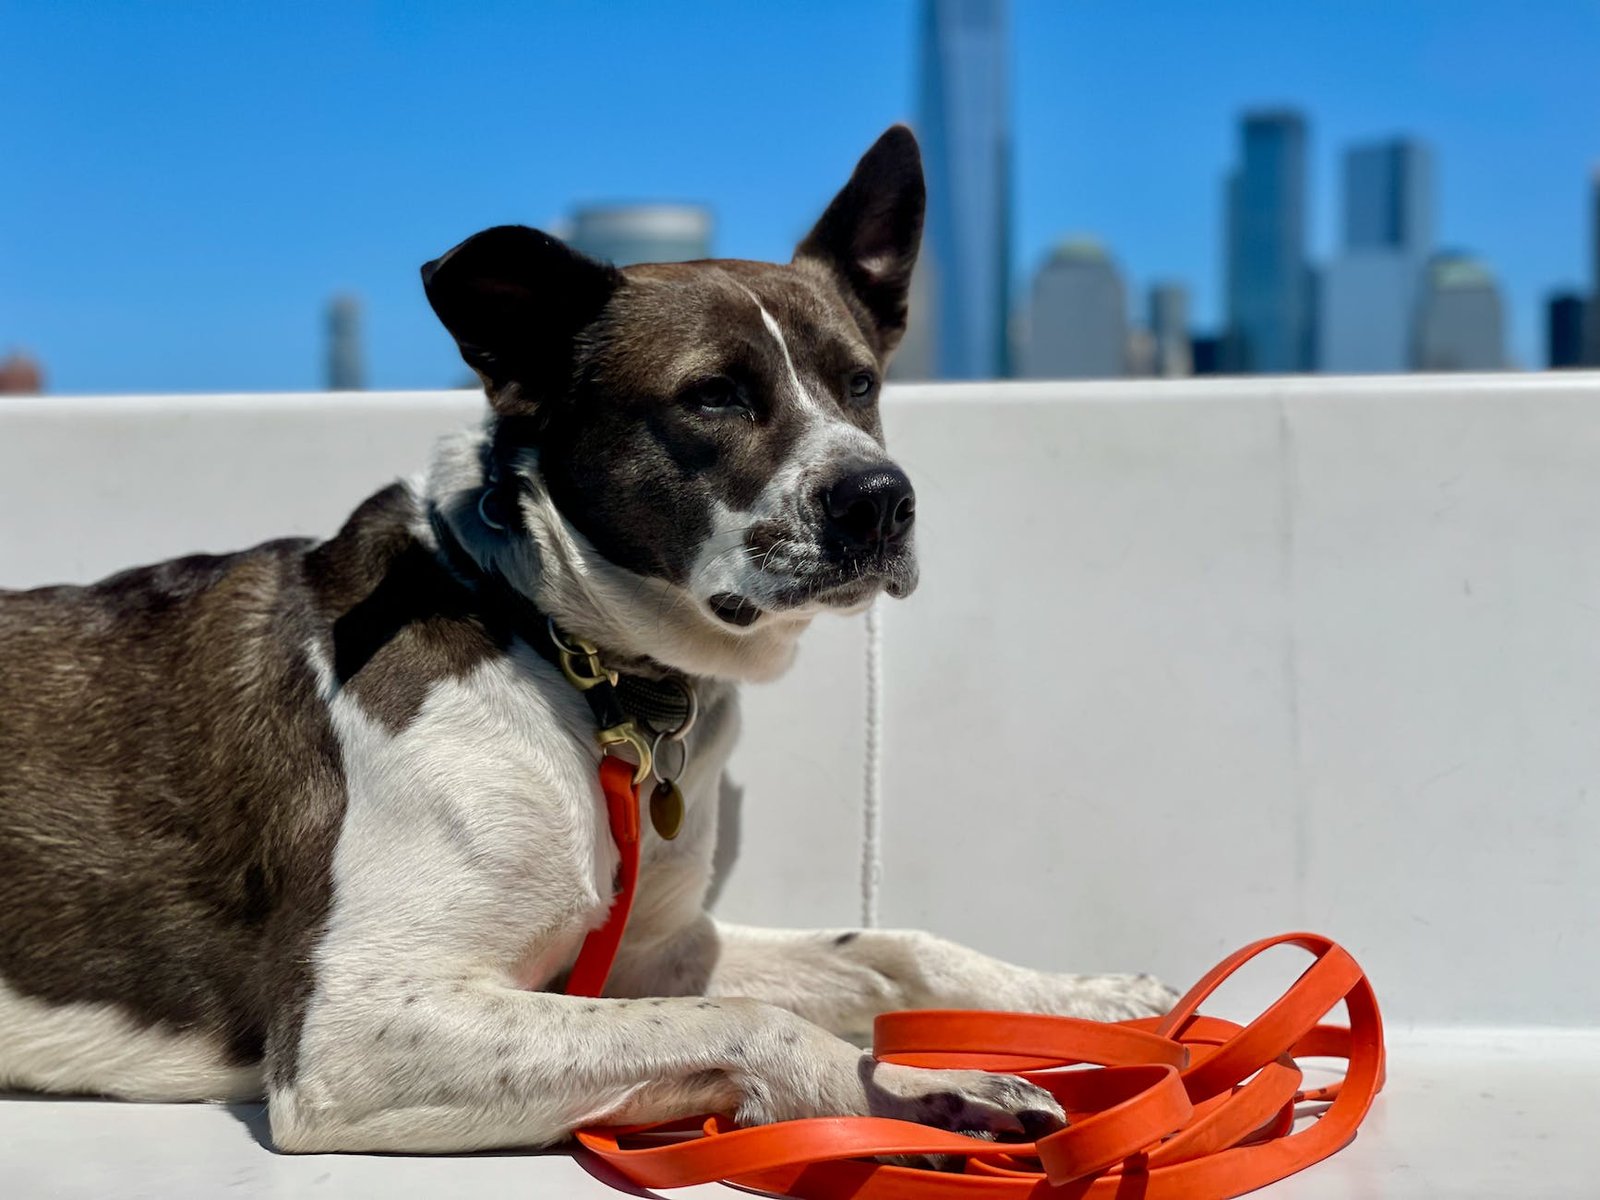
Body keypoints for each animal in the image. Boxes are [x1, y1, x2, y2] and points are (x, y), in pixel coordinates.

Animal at [0, 124, 1177, 1158]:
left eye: (860, 384)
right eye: (713, 396)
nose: (881, 500)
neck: (563, 652)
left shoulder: (654, 953)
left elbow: (888, 948)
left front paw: (1077, 1000)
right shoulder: (354, 1031)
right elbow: (751, 1018)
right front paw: (915, 1093)